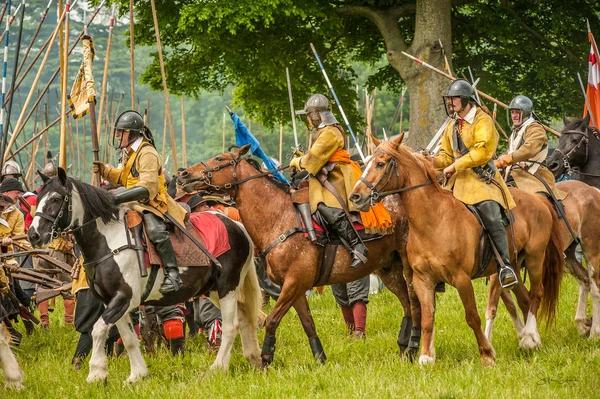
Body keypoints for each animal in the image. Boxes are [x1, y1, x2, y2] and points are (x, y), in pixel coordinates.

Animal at [28, 170, 262, 386]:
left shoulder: (123, 298)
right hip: (214, 290)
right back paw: (254, 358)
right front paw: (136, 375)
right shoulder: (114, 302)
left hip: (227, 286)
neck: (109, 241)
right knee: (243, 317)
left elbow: (98, 329)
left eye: (56, 199)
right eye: (38, 200)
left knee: (231, 325)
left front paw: (96, 372)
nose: (33, 235)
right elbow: (129, 338)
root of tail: (236, 226)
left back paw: (218, 367)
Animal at [178, 144, 420, 368]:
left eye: (219, 159)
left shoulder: (294, 283)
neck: (279, 217)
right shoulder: (296, 288)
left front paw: (265, 358)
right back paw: (404, 350)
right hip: (388, 269)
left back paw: (413, 347)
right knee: (407, 306)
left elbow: (272, 320)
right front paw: (320, 360)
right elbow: (308, 324)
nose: (183, 174)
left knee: (416, 304)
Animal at [350, 134, 564, 366]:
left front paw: (487, 355)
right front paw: (426, 357)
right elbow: (427, 319)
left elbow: (472, 317)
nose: (355, 197)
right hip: (513, 265)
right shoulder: (422, 280)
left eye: (380, 163)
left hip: (535, 258)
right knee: (524, 299)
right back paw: (530, 340)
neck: (433, 220)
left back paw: (530, 335)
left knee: (536, 294)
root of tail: (538, 199)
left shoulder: (462, 279)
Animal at [482, 180, 600, 342]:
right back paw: (582, 323)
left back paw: (594, 332)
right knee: (585, 280)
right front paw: (524, 334)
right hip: (567, 256)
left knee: (595, 288)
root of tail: (592, 189)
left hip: (591, 250)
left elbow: (493, 308)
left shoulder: (498, 275)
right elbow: (514, 305)